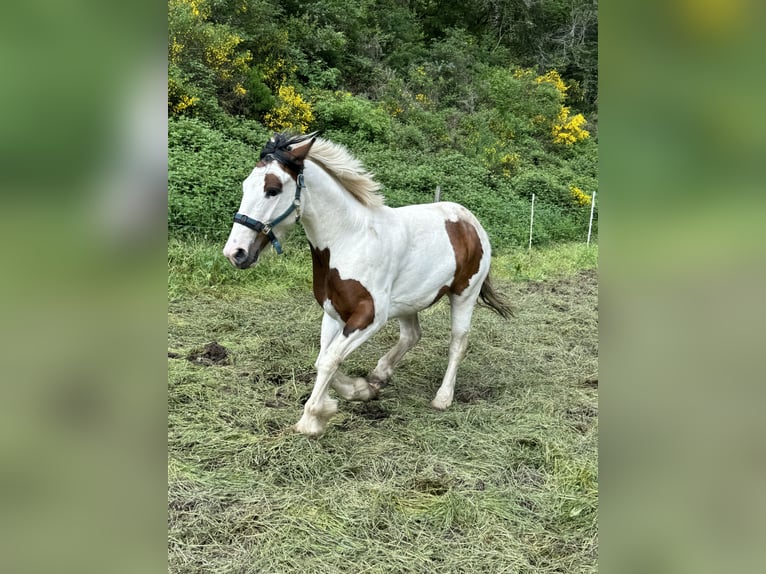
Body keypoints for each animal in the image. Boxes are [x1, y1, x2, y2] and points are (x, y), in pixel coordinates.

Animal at [222, 133, 512, 436]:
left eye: (273, 189)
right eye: (246, 185)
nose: (235, 252)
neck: (350, 239)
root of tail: (470, 221)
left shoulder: (369, 316)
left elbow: (329, 359)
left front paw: (311, 419)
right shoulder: (334, 312)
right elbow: (324, 359)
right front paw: (361, 390)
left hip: (464, 294)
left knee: (458, 341)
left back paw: (442, 398)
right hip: (407, 302)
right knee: (412, 335)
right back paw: (379, 375)